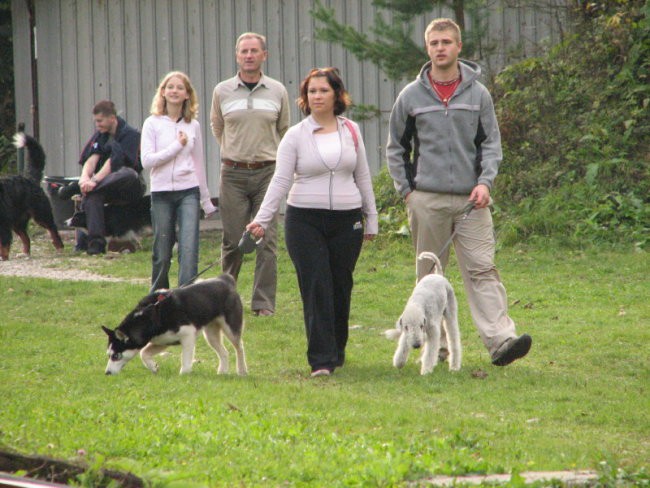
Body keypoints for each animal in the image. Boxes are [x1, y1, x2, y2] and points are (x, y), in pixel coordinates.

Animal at [102, 276, 247, 376]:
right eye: (108, 355)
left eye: (116, 356)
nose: (107, 373)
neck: (152, 314)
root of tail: (225, 280)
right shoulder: (162, 341)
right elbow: (143, 353)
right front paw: (153, 366)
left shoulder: (188, 335)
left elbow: (186, 360)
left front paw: (184, 374)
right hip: (211, 335)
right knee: (224, 352)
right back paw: (223, 371)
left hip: (230, 329)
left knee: (239, 347)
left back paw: (242, 370)